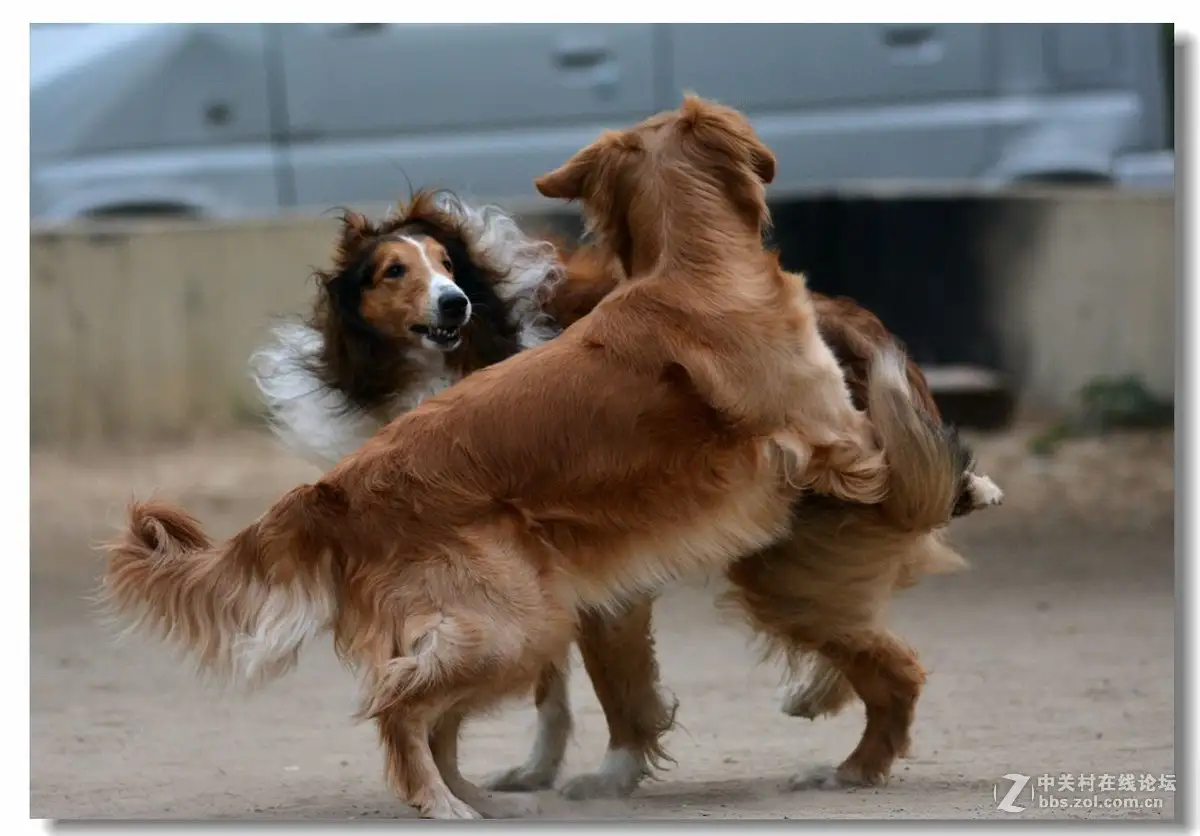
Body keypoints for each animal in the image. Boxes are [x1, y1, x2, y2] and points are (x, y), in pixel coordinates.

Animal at [100, 95, 892, 815]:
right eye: (394, 271)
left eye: (447, 265)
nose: (454, 302)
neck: (693, 268)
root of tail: (338, 491)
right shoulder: (842, 442)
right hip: (516, 623)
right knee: (401, 706)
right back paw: (443, 804)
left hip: (510, 623)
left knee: (435, 716)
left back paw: (481, 800)